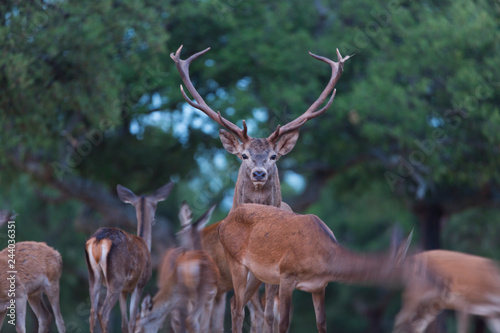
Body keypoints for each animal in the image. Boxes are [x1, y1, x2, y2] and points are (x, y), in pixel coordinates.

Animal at [84, 182, 174, 332]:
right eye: (155, 205)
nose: (154, 219)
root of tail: (99, 240)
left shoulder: (125, 290)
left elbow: (124, 323)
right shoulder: (140, 284)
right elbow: (132, 322)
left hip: (94, 276)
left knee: (92, 313)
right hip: (116, 279)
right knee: (103, 313)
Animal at [170, 44, 350, 332]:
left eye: (274, 156)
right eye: (243, 155)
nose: (258, 172)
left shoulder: (274, 274)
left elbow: (269, 316)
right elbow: (246, 311)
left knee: (258, 310)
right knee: (236, 307)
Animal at [220, 202, 414, 332]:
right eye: (405, 268)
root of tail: (223, 222)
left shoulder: (319, 286)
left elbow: (321, 323)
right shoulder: (287, 274)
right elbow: (283, 323)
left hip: (257, 273)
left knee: (234, 303)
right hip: (234, 259)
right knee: (238, 308)